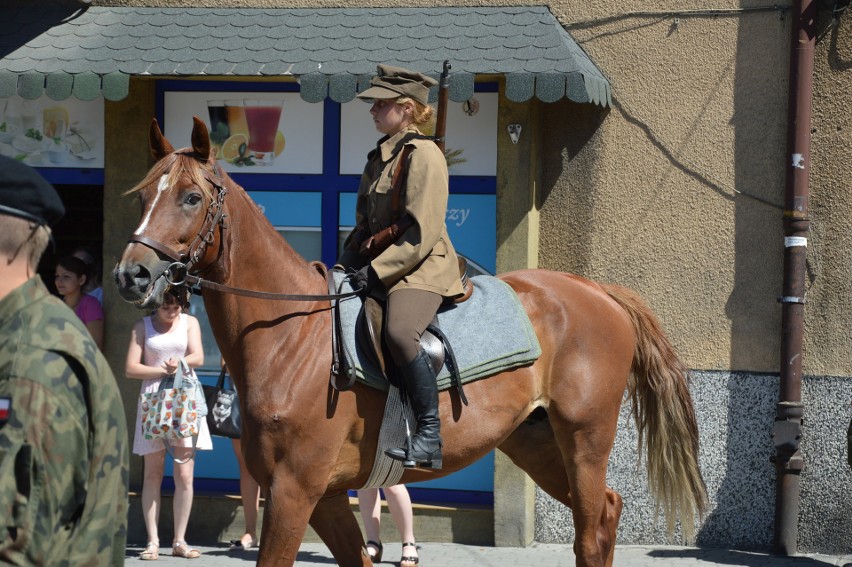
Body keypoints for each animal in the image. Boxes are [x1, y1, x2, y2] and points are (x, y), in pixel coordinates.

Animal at [115, 117, 704, 564]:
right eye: (143, 197)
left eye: (191, 197)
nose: (132, 275)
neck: (292, 337)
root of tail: (596, 290)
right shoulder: (327, 497)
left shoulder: (293, 491)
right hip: (533, 443)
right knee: (605, 513)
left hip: (584, 438)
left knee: (591, 529)